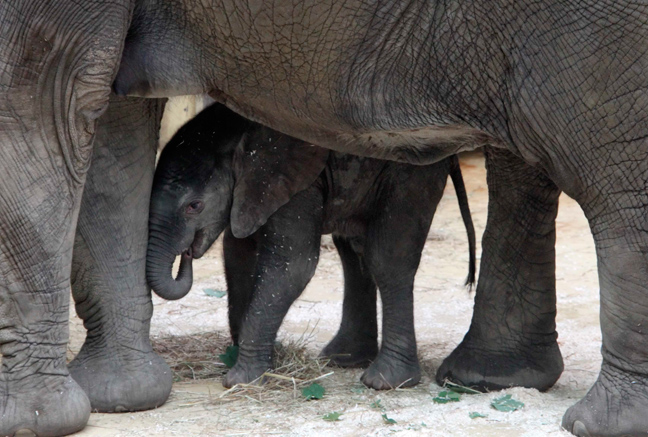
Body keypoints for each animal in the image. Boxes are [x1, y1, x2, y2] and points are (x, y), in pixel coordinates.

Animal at [147, 103, 474, 388]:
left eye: (194, 206)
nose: (187, 254)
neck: (238, 131)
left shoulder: (294, 183)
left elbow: (292, 265)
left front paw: (241, 381)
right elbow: (237, 254)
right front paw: (259, 359)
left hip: (412, 173)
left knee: (388, 256)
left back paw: (385, 381)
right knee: (354, 253)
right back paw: (343, 359)